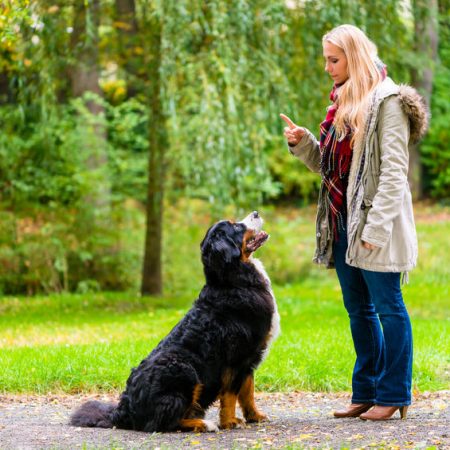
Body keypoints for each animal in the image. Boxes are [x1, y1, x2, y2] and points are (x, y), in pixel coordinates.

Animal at [71, 211, 280, 432]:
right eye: (236, 226)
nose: (256, 213)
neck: (233, 281)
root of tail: (124, 410)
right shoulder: (237, 358)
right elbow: (231, 395)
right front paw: (230, 422)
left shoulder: (250, 358)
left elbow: (248, 392)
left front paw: (255, 416)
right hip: (184, 369)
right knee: (164, 422)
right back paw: (204, 424)